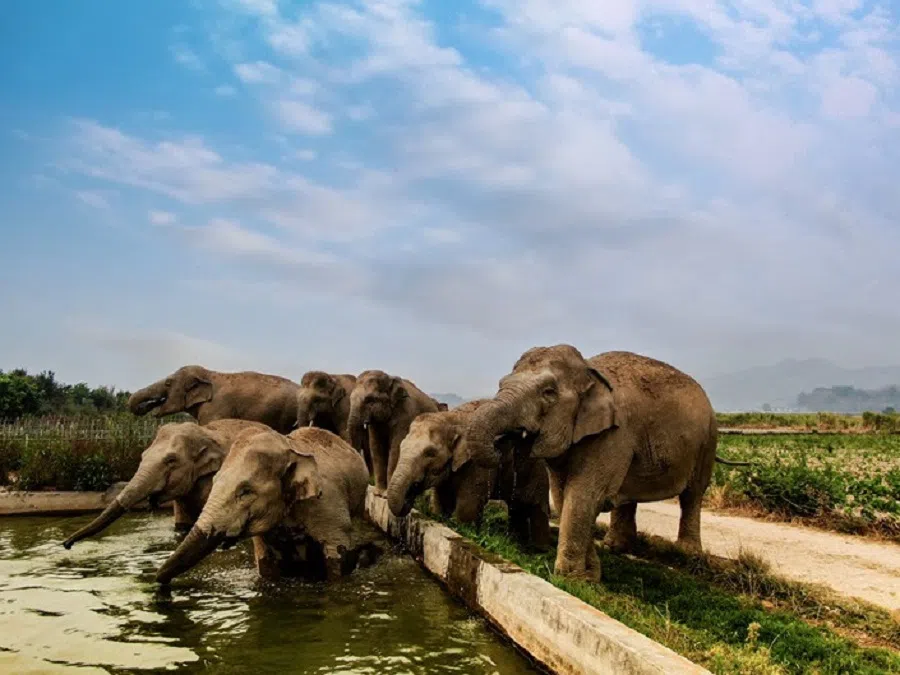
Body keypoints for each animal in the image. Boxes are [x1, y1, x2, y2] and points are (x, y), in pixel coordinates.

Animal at [154, 425, 374, 585]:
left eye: (245, 491)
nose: (161, 585)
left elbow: (337, 555)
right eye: (214, 480)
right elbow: (266, 564)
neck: (288, 446)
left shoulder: (327, 503)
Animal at [387, 399, 551, 551]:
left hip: (538, 473)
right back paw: (517, 545)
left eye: (430, 453)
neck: (452, 418)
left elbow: (468, 507)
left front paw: (462, 530)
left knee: (537, 509)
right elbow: (440, 501)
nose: (409, 499)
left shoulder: (477, 464)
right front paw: (440, 518)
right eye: (402, 446)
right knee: (516, 509)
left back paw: (538, 550)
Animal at [462, 345, 736, 582]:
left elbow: (584, 494)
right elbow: (563, 496)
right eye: (501, 384)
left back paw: (687, 554)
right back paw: (615, 546)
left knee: (693, 494)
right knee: (629, 494)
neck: (589, 371)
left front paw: (573, 579)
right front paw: (591, 574)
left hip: (708, 442)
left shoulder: (614, 435)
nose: (504, 441)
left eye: (548, 393)